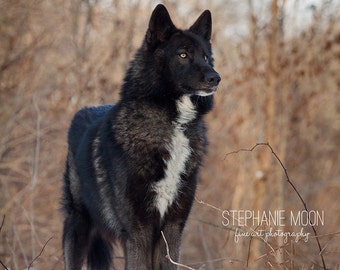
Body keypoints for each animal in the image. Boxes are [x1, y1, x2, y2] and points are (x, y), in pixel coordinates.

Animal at [61, 4, 220, 270]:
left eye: (206, 57)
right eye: (183, 55)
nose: (215, 78)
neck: (172, 125)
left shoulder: (173, 228)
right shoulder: (138, 231)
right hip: (77, 227)